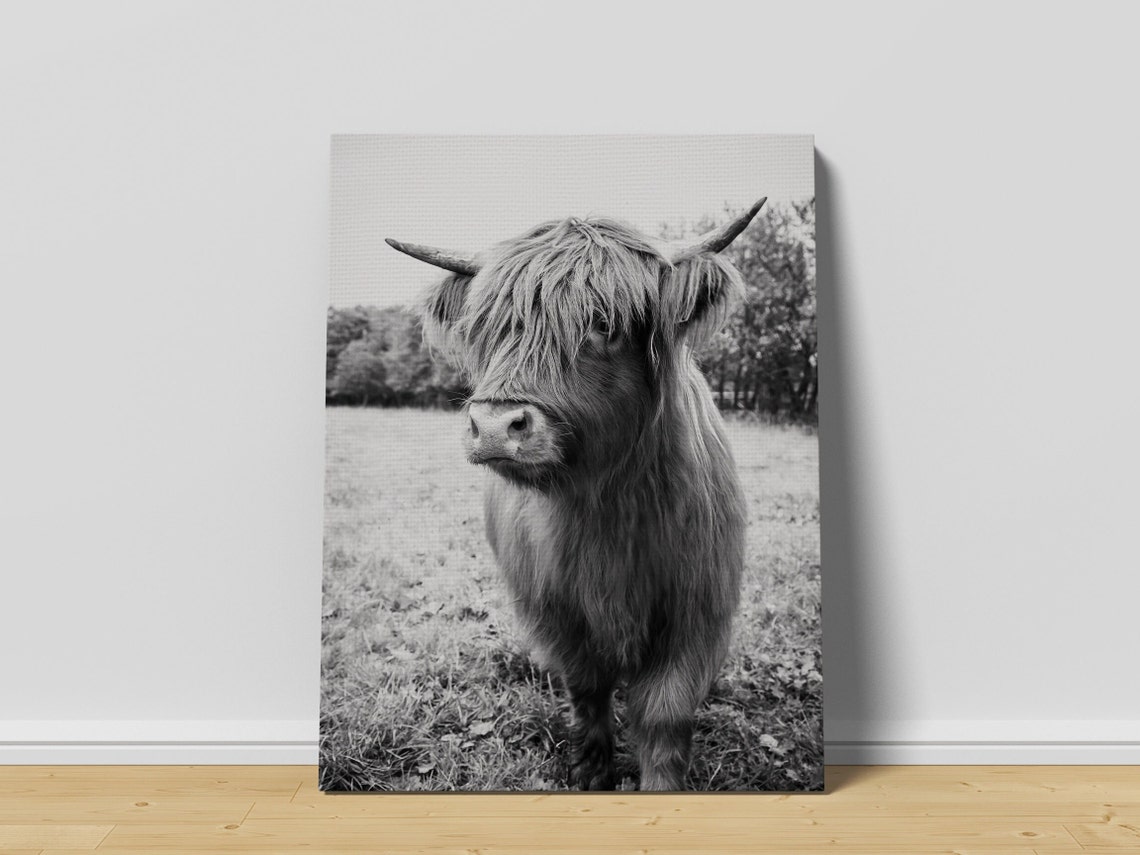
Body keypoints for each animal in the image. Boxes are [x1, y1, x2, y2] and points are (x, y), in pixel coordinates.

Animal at [386, 198, 765, 790]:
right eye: (489, 327)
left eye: (603, 323)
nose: (494, 427)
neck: (609, 510)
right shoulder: (558, 611)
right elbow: (587, 690)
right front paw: (592, 772)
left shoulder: (697, 611)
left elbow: (664, 715)